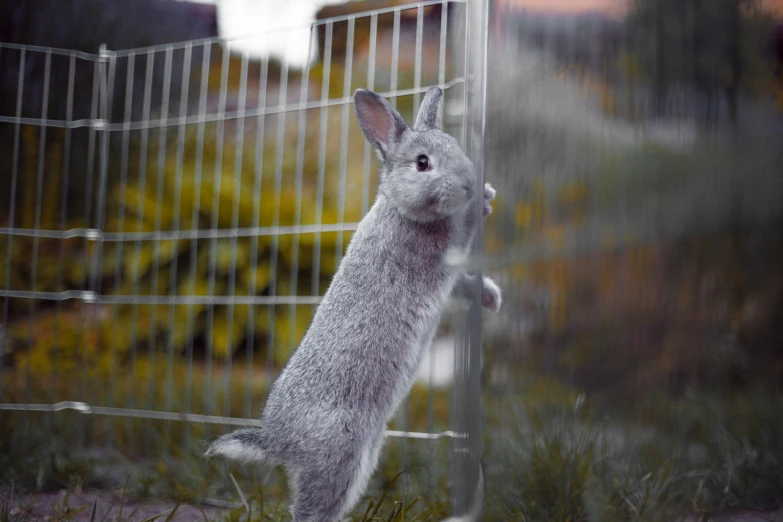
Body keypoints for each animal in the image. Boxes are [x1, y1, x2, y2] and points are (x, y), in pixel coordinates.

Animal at [207, 86, 502, 520]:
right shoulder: (437, 252)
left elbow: (465, 284)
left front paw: (492, 298)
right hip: (338, 456)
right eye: (422, 163)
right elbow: (462, 235)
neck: (399, 206)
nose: (468, 181)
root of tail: (277, 442)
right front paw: (481, 202)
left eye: (457, 147)